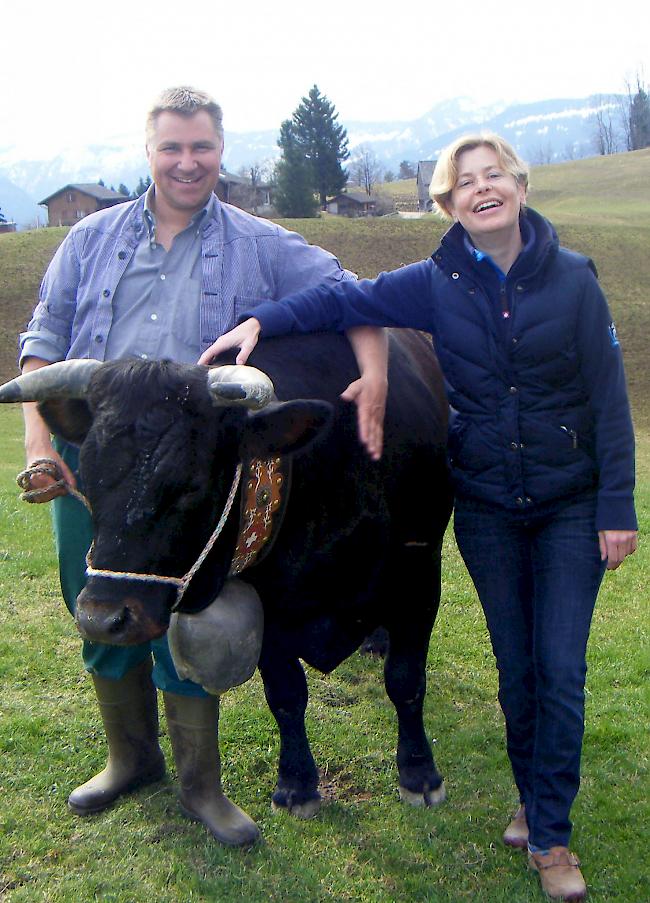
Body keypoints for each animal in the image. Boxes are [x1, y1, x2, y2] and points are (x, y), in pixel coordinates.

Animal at [3, 332, 450, 820]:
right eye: (88, 474)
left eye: (191, 484)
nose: (101, 618)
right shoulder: (269, 605)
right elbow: (286, 695)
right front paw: (297, 784)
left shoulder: (421, 576)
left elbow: (406, 681)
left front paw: (420, 775)